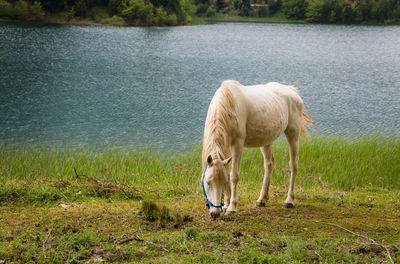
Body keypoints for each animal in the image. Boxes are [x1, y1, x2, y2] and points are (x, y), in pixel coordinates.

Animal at [200, 80, 312, 219]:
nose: (215, 213)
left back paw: (289, 201)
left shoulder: (237, 143)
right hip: (266, 139)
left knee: (293, 165)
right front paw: (225, 205)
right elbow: (227, 171)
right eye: (208, 182)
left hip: (293, 133)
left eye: (223, 182)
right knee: (269, 164)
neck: (228, 104)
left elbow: (234, 176)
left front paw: (232, 207)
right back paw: (262, 199)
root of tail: (292, 91)